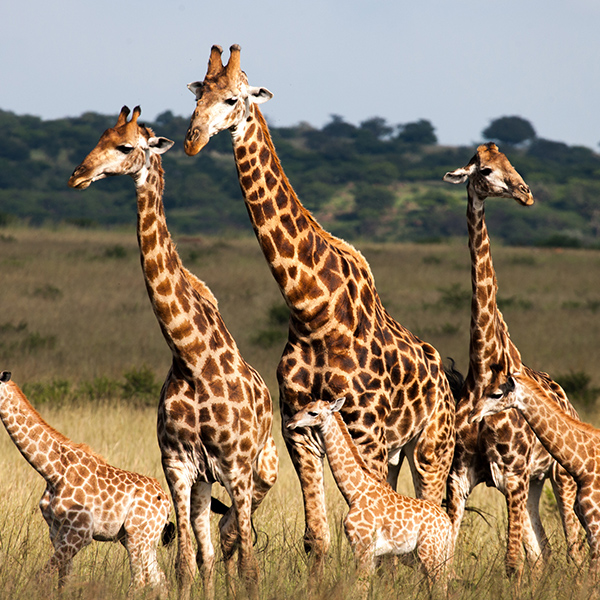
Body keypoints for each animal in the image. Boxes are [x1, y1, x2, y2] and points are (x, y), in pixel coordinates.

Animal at [0, 372, 173, 592]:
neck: (52, 471)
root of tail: (166, 504)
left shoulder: (81, 532)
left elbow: (43, 575)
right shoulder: (56, 531)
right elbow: (63, 581)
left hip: (137, 534)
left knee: (140, 580)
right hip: (142, 538)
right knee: (160, 579)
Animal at [67, 108, 278, 600]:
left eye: (125, 146)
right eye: (99, 137)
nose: (77, 175)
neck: (191, 356)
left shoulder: (236, 467)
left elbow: (250, 568)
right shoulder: (179, 466)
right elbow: (185, 562)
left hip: (261, 473)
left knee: (237, 540)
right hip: (205, 484)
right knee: (212, 551)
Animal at [183, 43, 454, 568]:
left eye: (233, 98)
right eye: (197, 93)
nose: (191, 140)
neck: (312, 309)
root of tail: (448, 383)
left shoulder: (366, 430)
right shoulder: (298, 426)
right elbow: (317, 538)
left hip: (431, 447)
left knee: (437, 513)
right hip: (396, 453)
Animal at [284, 398, 450, 592]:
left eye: (313, 413)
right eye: (304, 406)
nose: (290, 423)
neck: (355, 492)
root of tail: (447, 523)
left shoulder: (362, 545)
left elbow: (360, 585)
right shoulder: (369, 551)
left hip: (429, 550)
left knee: (439, 584)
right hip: (436, 552)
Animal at [442, 142, 584, 576]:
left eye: (512, 163)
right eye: (486, 170)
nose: (526, 193)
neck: (482, 368)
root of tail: (568, 400)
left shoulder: (514, 475)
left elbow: (512, 564)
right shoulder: (461, 477)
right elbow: (447, 557)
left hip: (558, 475)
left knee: (573, 549)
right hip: (537, 483)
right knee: (545, 552)